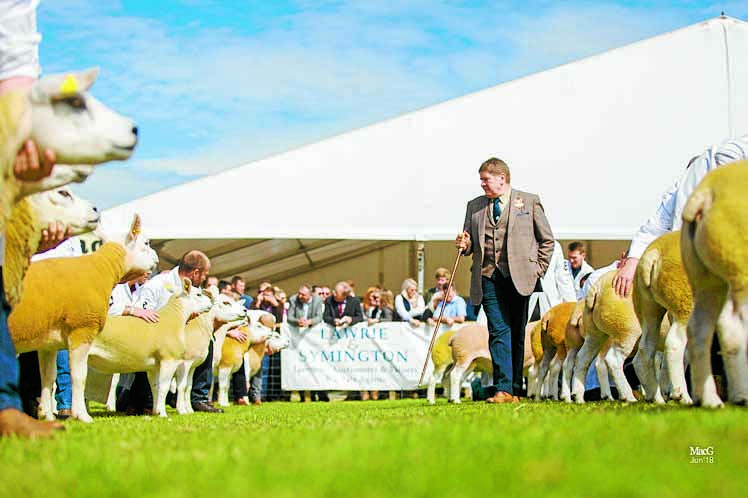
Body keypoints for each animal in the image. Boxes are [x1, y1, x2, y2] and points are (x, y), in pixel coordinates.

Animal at [6, 216, 159, 422]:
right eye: (146, 243)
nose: (156, 259)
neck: (103, 268)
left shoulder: (48, 344)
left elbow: (48, 377)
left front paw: (46, 414)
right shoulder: (83, 329)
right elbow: (79, 376)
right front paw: (82, 415)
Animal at [568, 270, 640, 402]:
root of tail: (597, 287)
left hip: (594, 336)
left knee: (583, 360)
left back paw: (579, 396)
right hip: (627, 332)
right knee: (611, 361)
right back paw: (627, 397)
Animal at [632, 231, 696, 404]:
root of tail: (654, 252)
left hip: (648, 307)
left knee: (645, 351)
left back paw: (657, 398)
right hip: (685, 302)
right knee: (674, 345)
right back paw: (683, 396)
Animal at [680, 161, 748, 406]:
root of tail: (706, 192)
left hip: (707, 280)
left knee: (699, 328)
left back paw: (710, 399)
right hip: (739, 268)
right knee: (733, 326)